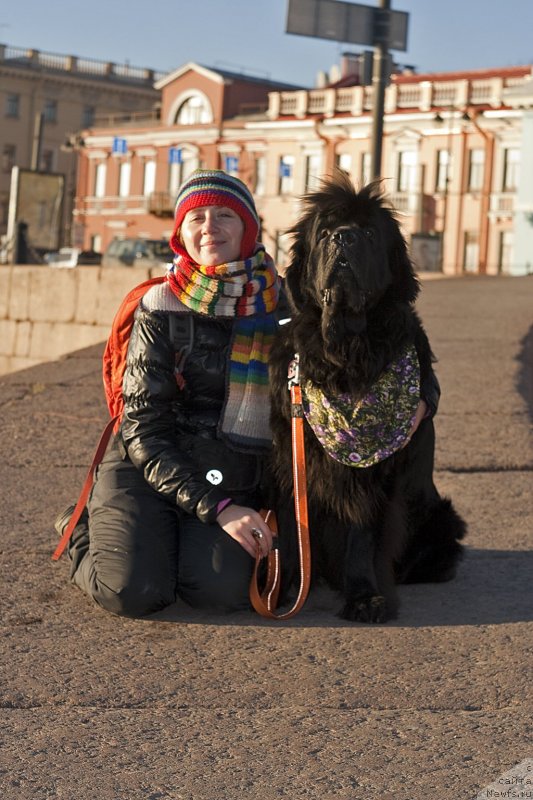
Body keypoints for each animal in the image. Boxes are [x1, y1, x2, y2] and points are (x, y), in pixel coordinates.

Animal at [268, 170, 464, 624]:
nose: (344, 238)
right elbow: (289, 528)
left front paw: (364, 596)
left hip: (441, 519)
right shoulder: (290, 456)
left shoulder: (371, 474)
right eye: (324, 232)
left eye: (371, 232)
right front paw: (283, 590)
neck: (346, 354)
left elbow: (360, 534)